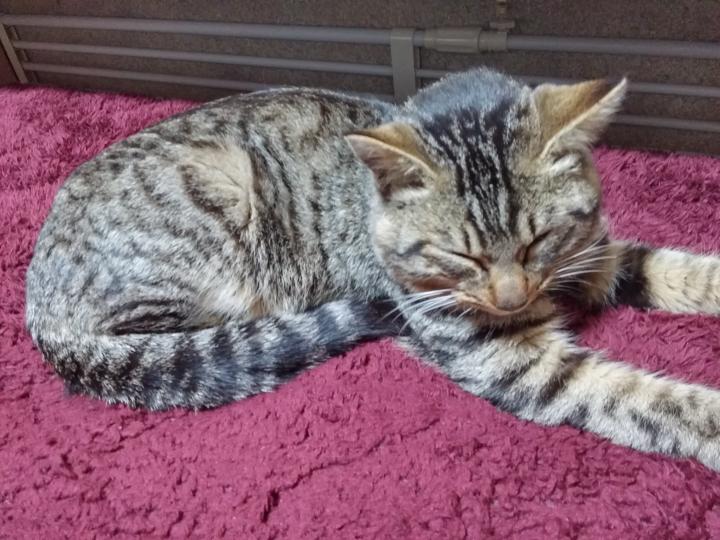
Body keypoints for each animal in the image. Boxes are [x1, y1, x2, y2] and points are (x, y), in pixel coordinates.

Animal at [25, 68, 720, 471]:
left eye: (538, 241)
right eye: (461, 256)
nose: (511, 299)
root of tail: (37, 298)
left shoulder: (587, 253)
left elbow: (662, 266)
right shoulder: (514, 360)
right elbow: (638, 399)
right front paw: (708, 422)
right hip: (216, 203)